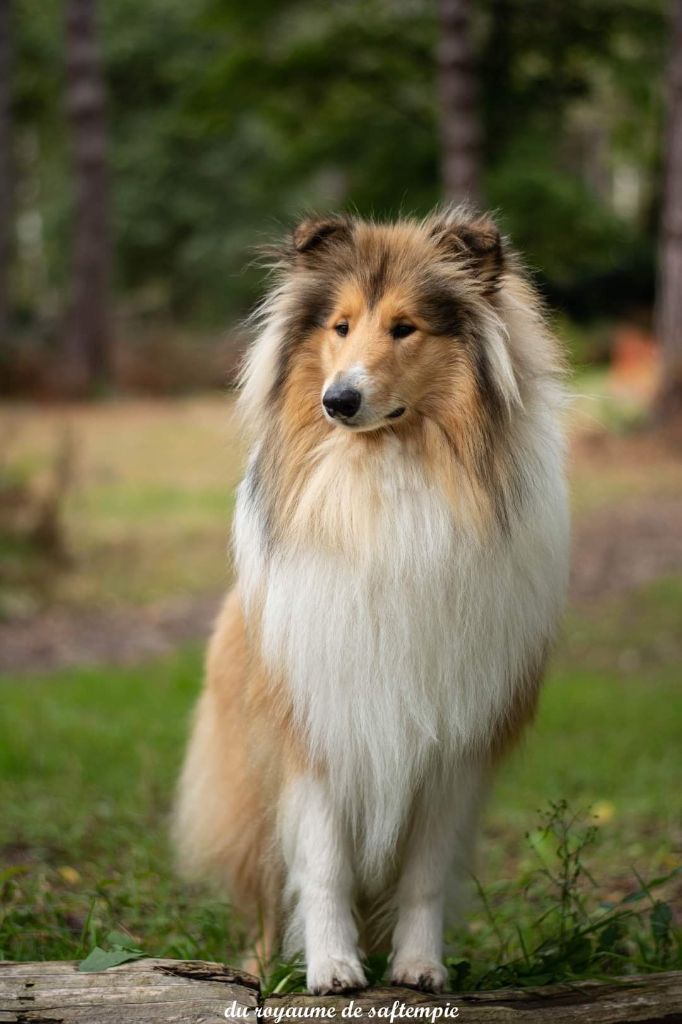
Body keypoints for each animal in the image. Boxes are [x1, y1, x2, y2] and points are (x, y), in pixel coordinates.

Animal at [173, 203, 565, 995]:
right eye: (342, 325)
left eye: (405, 327)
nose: (339, 401)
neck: (386, 476)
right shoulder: (318, 726)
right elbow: (323, 866)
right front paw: (331, 969)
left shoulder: (453, 746)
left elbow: (424, 875)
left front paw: (420, 966)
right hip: (248, 782)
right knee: (264, 899)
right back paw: (261, 971)